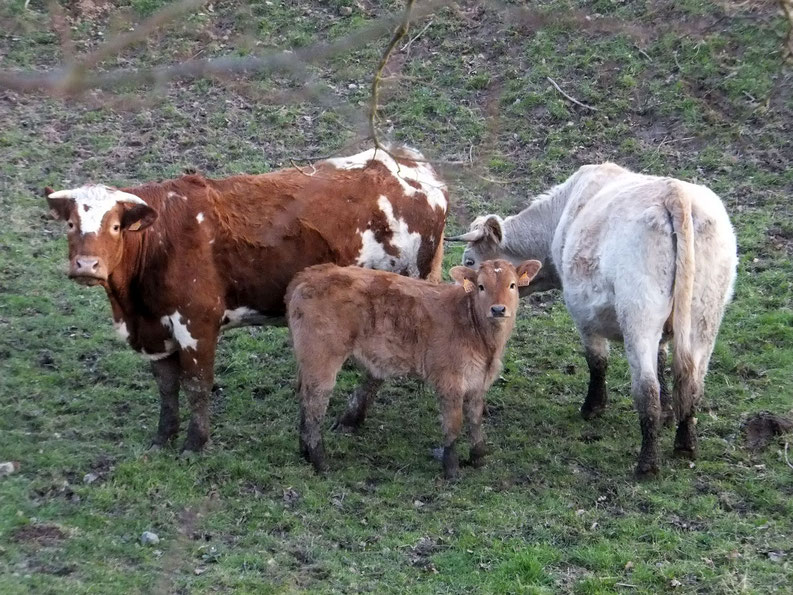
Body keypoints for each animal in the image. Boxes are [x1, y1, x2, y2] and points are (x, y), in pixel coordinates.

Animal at [44, 146, 448, 455]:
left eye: (115, 226)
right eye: (70, 225)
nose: (87, 265)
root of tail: (407, 164)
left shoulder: (197, 323)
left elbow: (197, 385)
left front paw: (195, 444)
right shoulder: (154, 330)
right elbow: (167, 387)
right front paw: (163, 438)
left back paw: (351, 418)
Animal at [286, 259, 542, 478]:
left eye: (512, 285)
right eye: (481, 286)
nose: (498, 309)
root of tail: (310, 274)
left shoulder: (478, 382)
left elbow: (475, 420)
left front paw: (478, 458)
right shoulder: (449, 380)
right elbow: (454, 424)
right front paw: (452, 469)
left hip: (308, 360)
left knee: (304, 398)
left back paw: (304, 451)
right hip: (322, 357)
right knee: (315, 404)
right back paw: (320, 461)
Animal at [447, 163, 737, 477]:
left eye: (470, 261)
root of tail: (676, 193)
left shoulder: (583, 314)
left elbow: (597, 361)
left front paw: (593, 407)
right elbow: (662, 365)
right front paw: (669, 414)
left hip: (639, 316)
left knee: (647, 390)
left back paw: (647, 464)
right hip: (706, 317)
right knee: (691, 382)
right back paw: (685, 444)